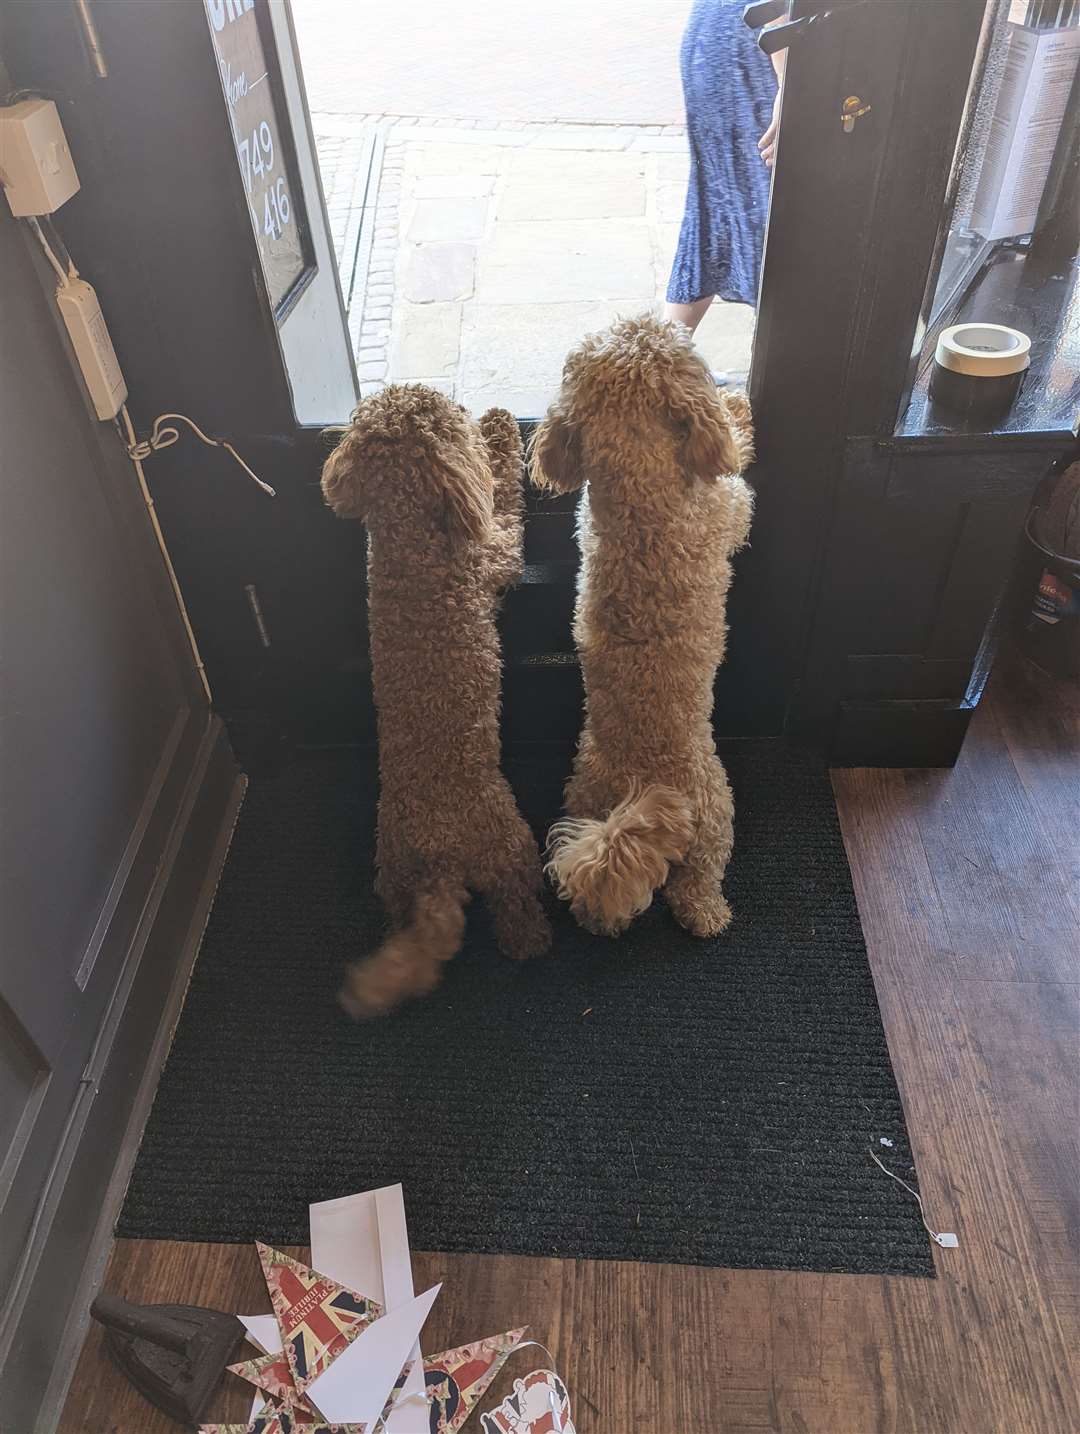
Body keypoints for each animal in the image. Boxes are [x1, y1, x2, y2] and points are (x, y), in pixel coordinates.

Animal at [322, 381, 550, 1009]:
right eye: (451, 419)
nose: (469, 407)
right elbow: (504, 502)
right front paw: (499, 430)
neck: (405, 536)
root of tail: (438, 865)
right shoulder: (494, 552)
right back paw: (533, 939)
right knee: (515, 903)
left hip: (391, 870)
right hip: (509, 845)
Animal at [527, 315, 751, 940]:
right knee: (694, 886)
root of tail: (643, 786)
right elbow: (739, 481)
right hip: (716, 809)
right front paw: (739, 412)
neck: (637, 486)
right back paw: (712, 915)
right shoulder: (727, 510)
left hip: (582, 794)